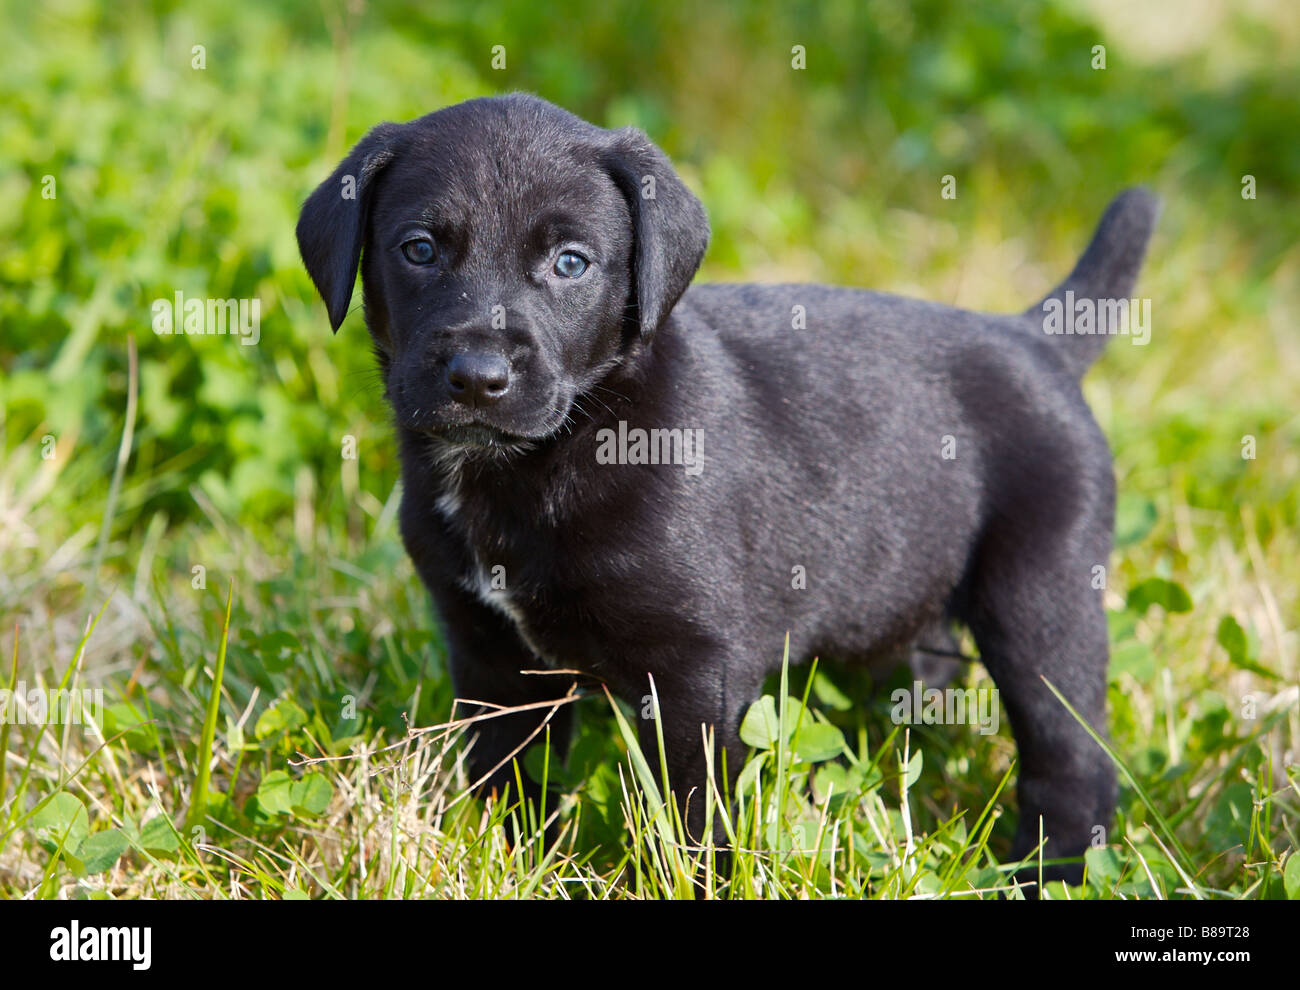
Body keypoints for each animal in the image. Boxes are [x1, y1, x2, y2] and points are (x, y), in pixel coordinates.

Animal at [299, 90, 1164, 878]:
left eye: (570, 263)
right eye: (418, 249)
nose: (478, 377)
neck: (555, 453)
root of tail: (1035, 338)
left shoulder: (696, 671)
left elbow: (688, 814)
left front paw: (688, 880)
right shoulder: (491, 654)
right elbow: (509, 780)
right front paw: (511, 862)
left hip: (1041, 600)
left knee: (1072, 760)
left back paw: (1050, 872)